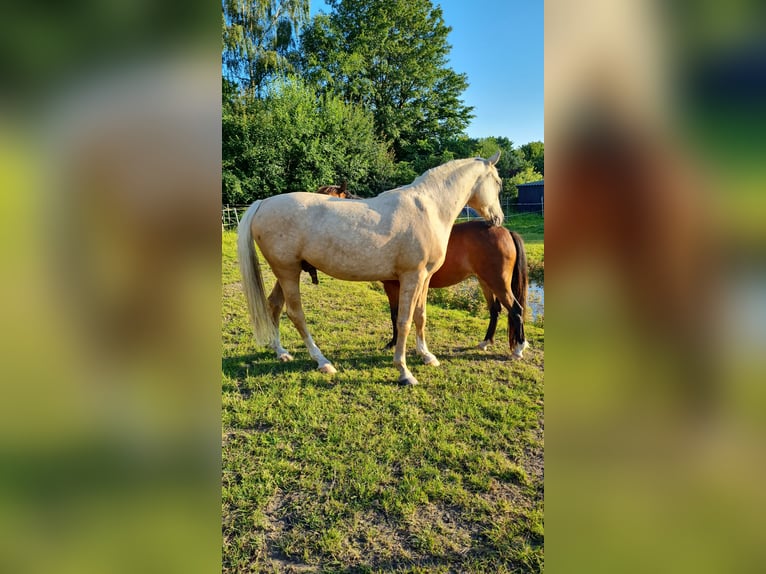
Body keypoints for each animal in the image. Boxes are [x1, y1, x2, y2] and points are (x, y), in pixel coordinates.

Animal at [237, 153, 508, 388]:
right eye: (498, 182)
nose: (498, 219)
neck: (428, 208)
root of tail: (264, 203)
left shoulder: (425, 278)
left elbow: (420, 316)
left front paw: (427, 356)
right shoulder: (411, 277)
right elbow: (404, 321)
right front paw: (404, 371)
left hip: (286, 273)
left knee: (274, 305)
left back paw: (281, 352)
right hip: (288, 272)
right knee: (295, 314)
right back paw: (322, 361)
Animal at [316, 187, 532, 360]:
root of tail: (506, 231)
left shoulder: (393, 286)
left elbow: (396, 315)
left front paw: (393, 344)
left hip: (498, 282)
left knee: (516, 309)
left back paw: (518, 349)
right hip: (485, 281)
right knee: (495, 310)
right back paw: (485, 342)